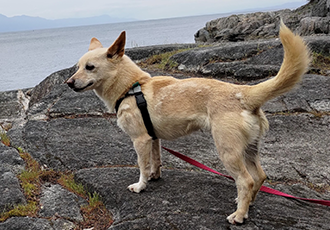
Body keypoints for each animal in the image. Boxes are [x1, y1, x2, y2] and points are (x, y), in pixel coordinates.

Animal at [65, 20, 310, 224]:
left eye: (90, 67)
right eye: (77, 67)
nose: (68, 83)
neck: (132, 87)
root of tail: (243, 93)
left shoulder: (140, 140)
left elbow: (142, 166)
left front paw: (141, 185)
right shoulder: (153, 138)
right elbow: (156, 160)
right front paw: (154, 177)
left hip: (228, 150)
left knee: (246, 181)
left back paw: (239, 215)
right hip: (250, 148)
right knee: (259, 177)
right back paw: (247, 203)